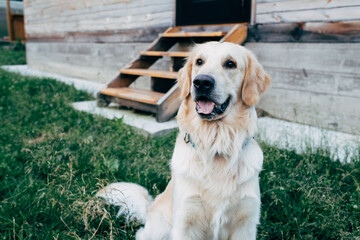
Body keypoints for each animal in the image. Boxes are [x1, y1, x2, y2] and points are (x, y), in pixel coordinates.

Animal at [95, 42, 270, 239]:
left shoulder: (245, 223)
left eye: (230, 64)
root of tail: (149, 208)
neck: (215, 145)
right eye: (199, 61)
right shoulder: (186, 220)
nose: (201, 82)